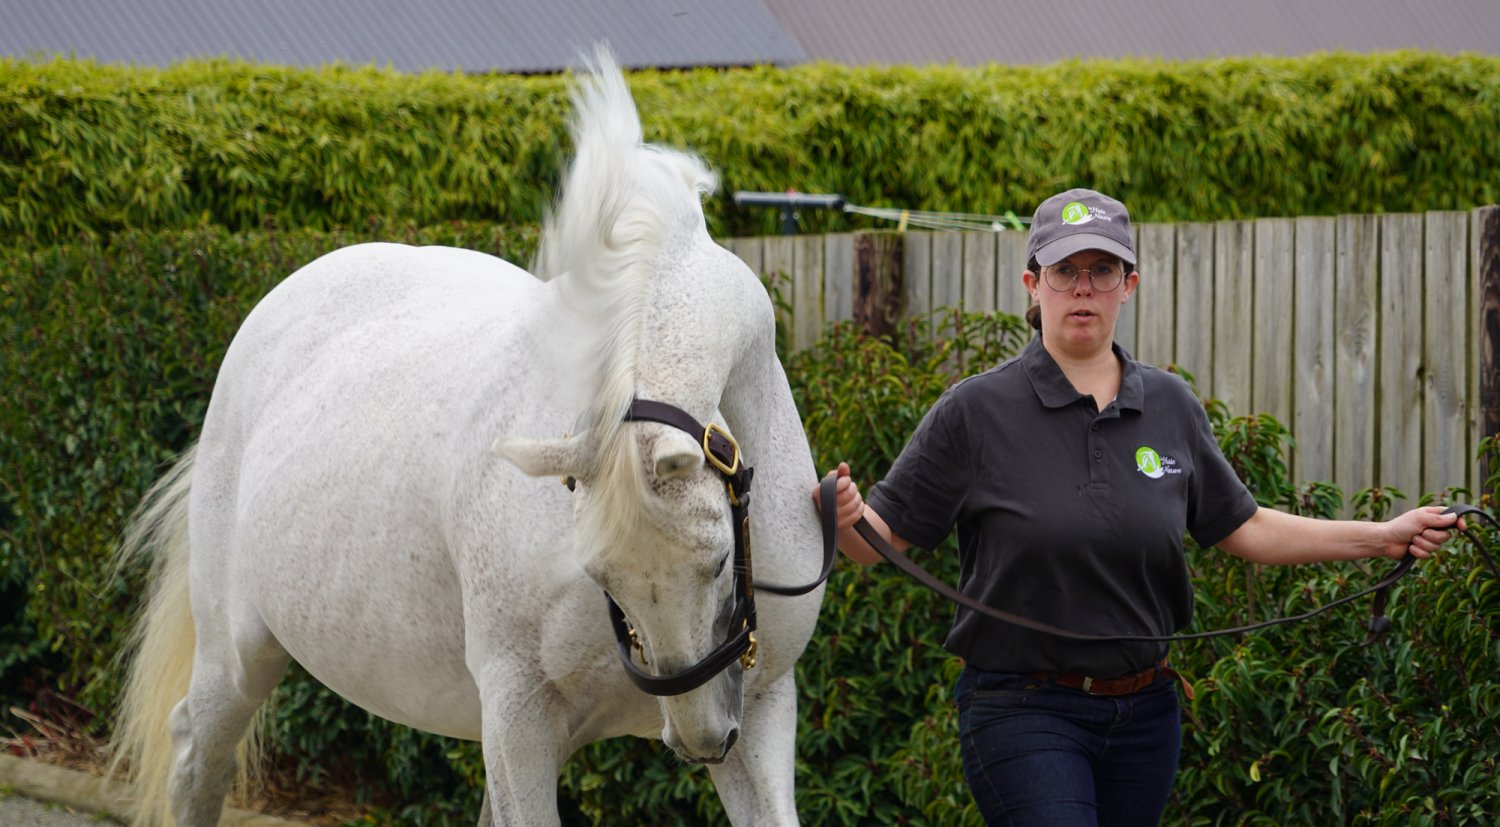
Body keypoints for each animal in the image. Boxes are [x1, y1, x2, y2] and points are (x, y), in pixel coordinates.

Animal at [110, 50, 826, 826]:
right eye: (602, 575)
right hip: (237, 656)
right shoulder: (519, 717)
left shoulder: (761, 706)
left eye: (722, 561)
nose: (703, 737)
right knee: (196, 755)